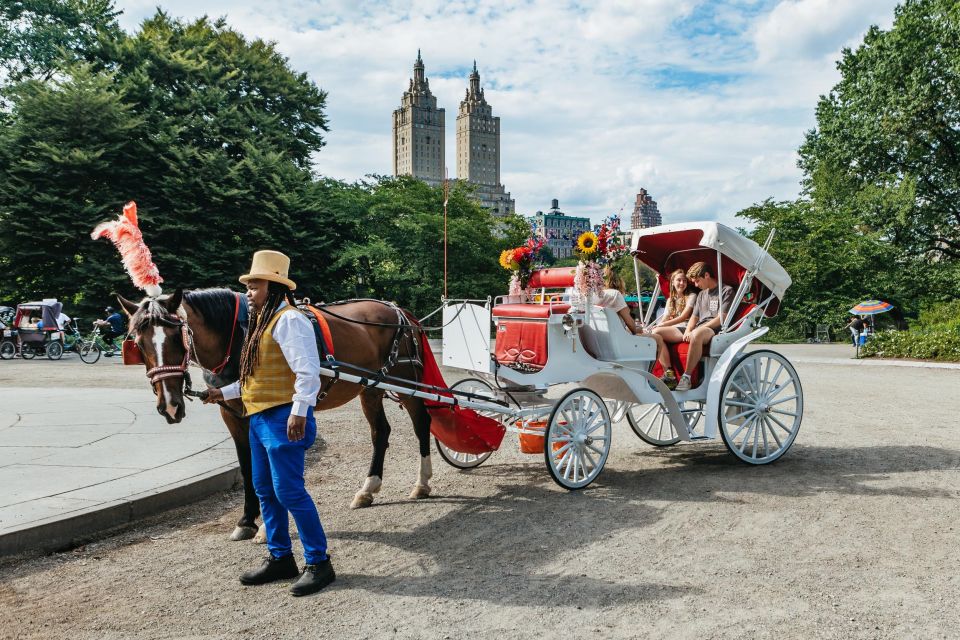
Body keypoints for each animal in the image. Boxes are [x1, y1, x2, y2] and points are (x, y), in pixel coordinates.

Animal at [116, 288, 436, 544]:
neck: (240, 336)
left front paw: (265, 528)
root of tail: (398, 310)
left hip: (407, 383)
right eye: (139, 343)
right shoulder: (233, 416)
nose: (170, 406)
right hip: (370, 387)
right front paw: (247, 521)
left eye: (176, 338)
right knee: (380, 433)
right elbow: (248, 468)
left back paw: (421, 483)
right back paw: (368, 489)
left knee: (422, 425)